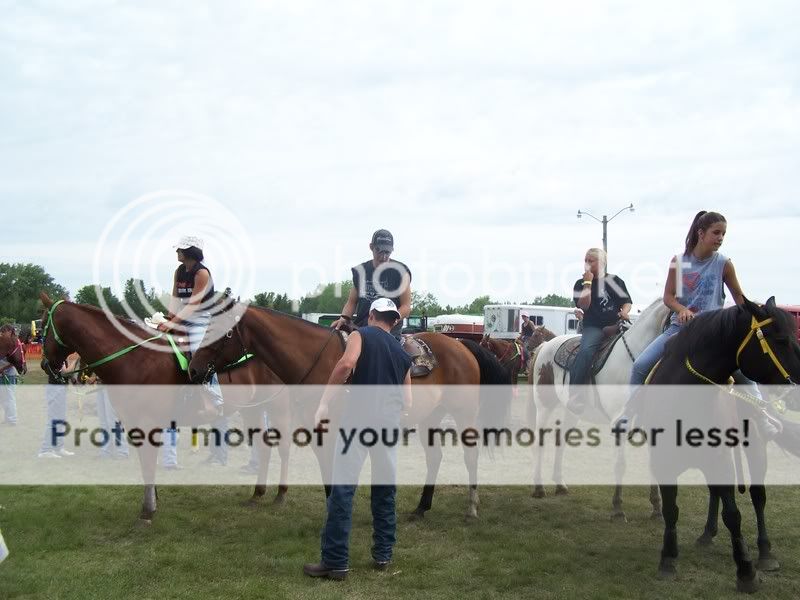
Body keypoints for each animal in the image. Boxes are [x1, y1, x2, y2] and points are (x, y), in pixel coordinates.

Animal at [38, 292, 294, 524]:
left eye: (41, 328)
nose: (45, 365)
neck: (135, 359)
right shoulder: (133, 424)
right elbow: (145, 467)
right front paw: (151, 504)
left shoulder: (148, 424)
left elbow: (149, 465)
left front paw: (147, 512)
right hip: (251, 408)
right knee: (264, 447)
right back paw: (257, 494)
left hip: (278, 407)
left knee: (283, 448)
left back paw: (281, 494)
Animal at [188, 304, 512, 520]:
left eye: (219, 331)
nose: (193, 368)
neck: (321, 363)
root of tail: (463, 346)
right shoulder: (318, 435)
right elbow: (327, 476)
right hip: (429, 418)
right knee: (435, 459)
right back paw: (421, 508)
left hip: (463, 414)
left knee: (470, 457)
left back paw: (471, 508)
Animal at [528, 300, 672, 520]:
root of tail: (545, 346)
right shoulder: (620, 423)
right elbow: (620, 465)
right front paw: (618, 510)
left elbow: (652, 466)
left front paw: (657, 508)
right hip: (544, 405)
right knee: (540, 442)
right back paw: (539, 488)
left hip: (571, 410)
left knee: (561, 440)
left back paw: (560, 484)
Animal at [640, 296, 800, 592]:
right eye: (781, 339)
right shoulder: (664, 462)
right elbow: (671, 510)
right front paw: (668, 558)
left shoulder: (721, 462)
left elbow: (734, 515)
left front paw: (746, 571)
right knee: (715, 493)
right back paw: (707, 534)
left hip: (754, 450)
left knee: (758, 496)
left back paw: (765, 552)